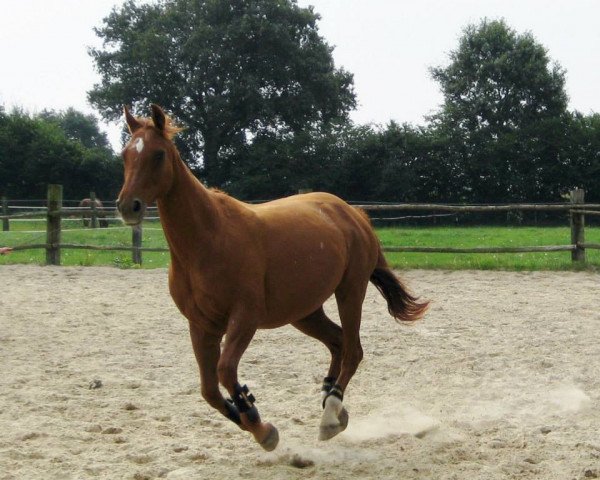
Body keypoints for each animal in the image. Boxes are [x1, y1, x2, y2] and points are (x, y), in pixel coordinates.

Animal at [116, 104, 426, 450]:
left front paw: (259, 425)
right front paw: (250, 417)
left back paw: (331, 413)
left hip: (350, 291)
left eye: (158, 154)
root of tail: (353, 213)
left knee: (352, 350)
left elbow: (225, 371)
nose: (128, 206)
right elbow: (209, 390)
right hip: (304, 312)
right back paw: (332, 403)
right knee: (337, 342)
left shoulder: (245, 317)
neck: (208, 239)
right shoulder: (201, 325)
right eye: (125, 155)